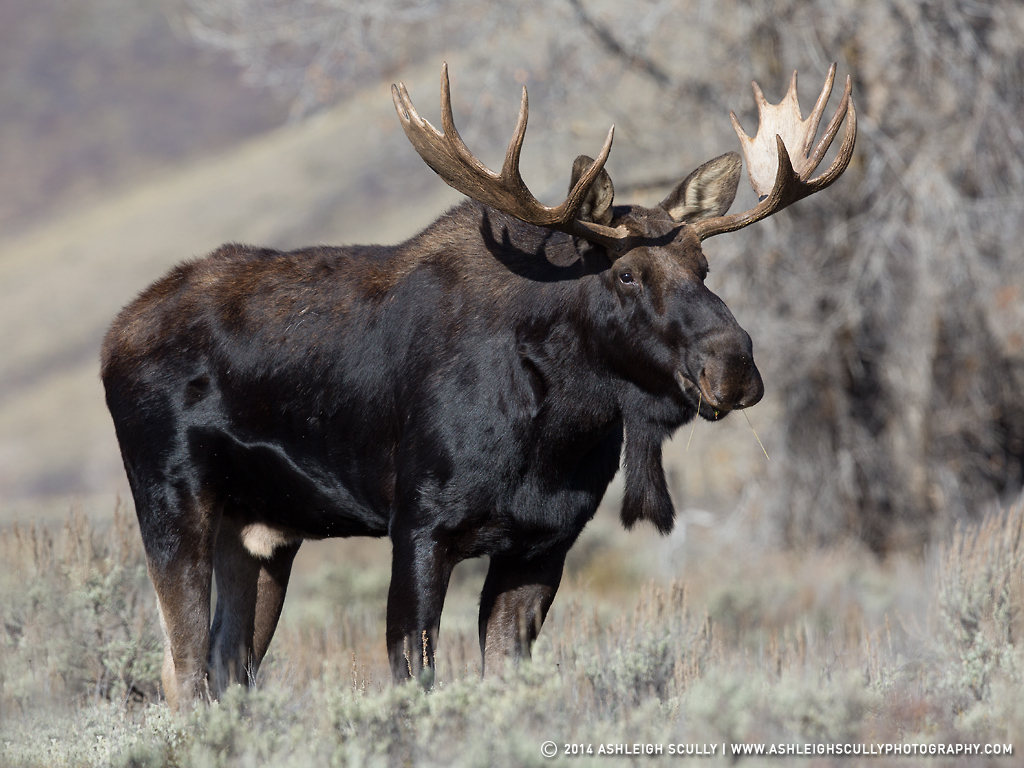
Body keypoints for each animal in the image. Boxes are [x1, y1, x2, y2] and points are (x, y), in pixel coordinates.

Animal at [101, 62, 855, 709]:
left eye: (704, 266)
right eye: (626, 273)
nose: (734, 367)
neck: (557, 430)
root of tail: (114, 335)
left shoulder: (544, 542)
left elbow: (504, 679)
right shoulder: (419, 526)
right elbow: (416, 676)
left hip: (261, 530)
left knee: (228, 667)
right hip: (173, 501)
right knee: (183, 672)